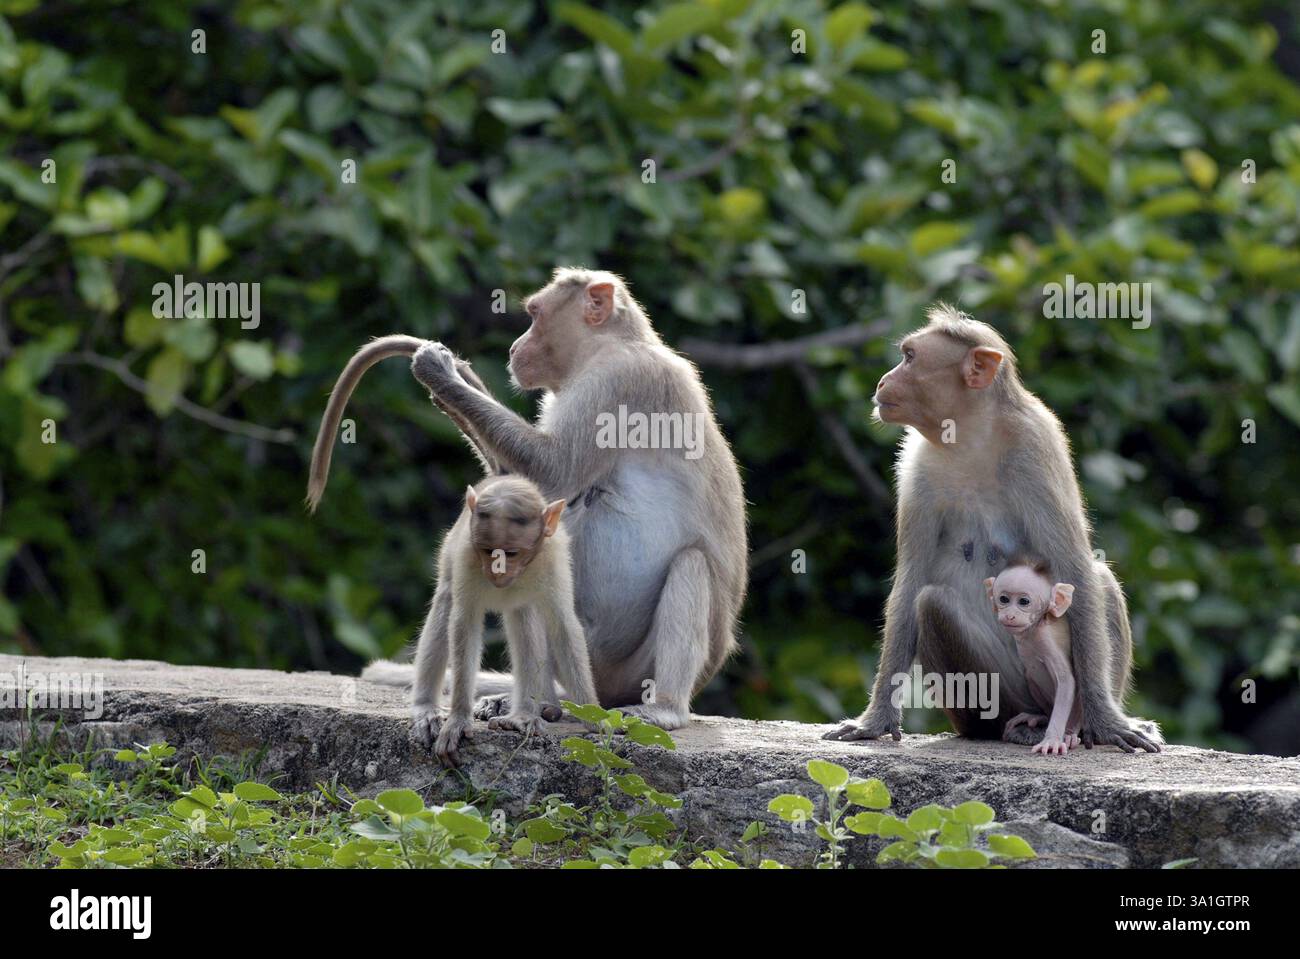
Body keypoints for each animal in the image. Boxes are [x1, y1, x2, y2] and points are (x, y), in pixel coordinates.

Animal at [308, 268, 748, 730]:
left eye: (534, 315)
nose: (515, 347)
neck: (609, 345)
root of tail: (601, 695)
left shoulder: (619, 379)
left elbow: (554, 469)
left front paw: (439, 371)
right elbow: (527, 492)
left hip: (634, 669)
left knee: (691, 564)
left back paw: (661, 709)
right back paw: (538, 703)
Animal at [417, 474, 600, 768]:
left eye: (511, 553)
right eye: (488, 550)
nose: (497, 571)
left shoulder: (553, 558)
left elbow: (562, 626)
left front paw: (596, 718)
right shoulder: (467, 553)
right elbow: (464, 623)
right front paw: (458, 719)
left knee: (525, 616)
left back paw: (527, 713)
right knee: (445, 601)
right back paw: (425, 708)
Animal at [984, 559, 1082, 756]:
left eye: (1024, 601)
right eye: (1004, 599)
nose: (1010, 615)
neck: (1033, 629)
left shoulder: (1047, 639)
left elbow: (1066, 681)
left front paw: (1052, 740)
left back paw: (1070, 733)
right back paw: (1040, 716)